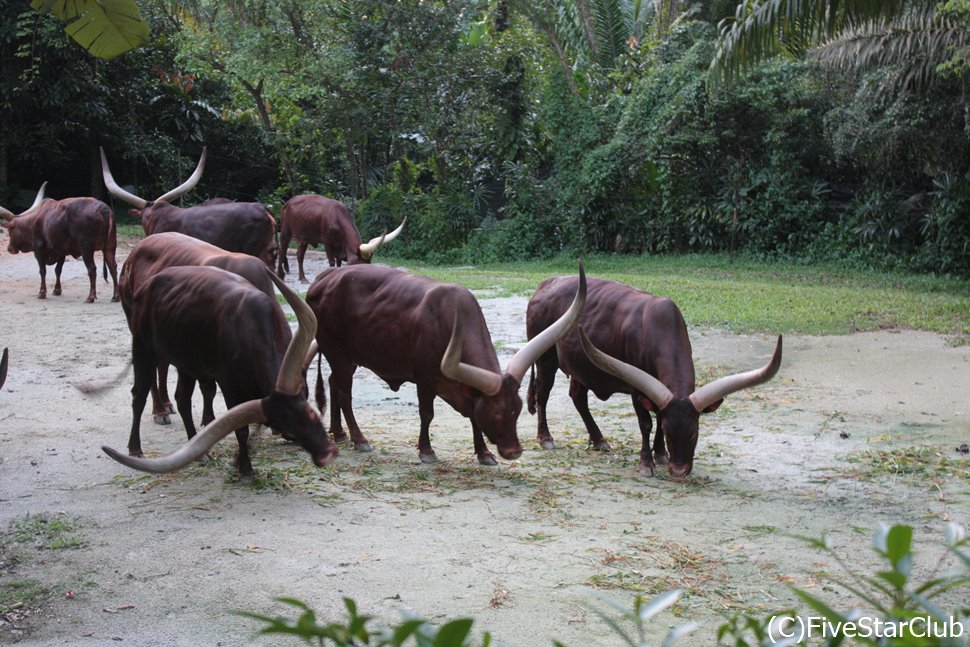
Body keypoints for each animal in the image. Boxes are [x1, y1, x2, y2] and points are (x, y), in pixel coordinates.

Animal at [102, 264, 336, 480]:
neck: (255, 327)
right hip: (143, 348)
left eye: (311, 412)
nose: (328, 455)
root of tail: (145, 286)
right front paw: (245, 468)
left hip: (186, 363)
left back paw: (199, 451)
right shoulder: (230, 386)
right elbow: (241, 430)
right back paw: (136, 448)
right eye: (288, 429)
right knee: (139, 396)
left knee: (182, 399)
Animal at [276, 194, 404, 282]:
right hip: (285, 231)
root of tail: (287, 203)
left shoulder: (339, 246)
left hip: (304, 237)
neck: (337, 217)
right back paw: (280, 275)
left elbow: (338, 262)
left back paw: (302, 278)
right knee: (282, 250)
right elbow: (332, 262)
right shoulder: (327, 241)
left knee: (299, 255)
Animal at [306, 264, 588, 466]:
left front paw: (484, 453)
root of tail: (322, 279)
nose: (514, 451)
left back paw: (339, 433)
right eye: (496, 412)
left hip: (346, 356)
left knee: (333, 383)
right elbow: (426, 414)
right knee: (345, 393)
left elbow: (473, 415)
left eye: (516, 410)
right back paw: (358, 439)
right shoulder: (424, 378)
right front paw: (426, 451)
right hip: (335, 350)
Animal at [520, 276, 780, 478]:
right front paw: (647, 463)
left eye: (694, 432)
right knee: (543, 394)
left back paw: (599, 439)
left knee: (578, 397)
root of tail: (546, 284)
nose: (679, 471)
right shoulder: (637, 390)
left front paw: (661, 454)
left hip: (581, 367)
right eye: (671, 432)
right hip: (545, 358)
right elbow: (646, 423)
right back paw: (546, 438)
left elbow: (657, 417)